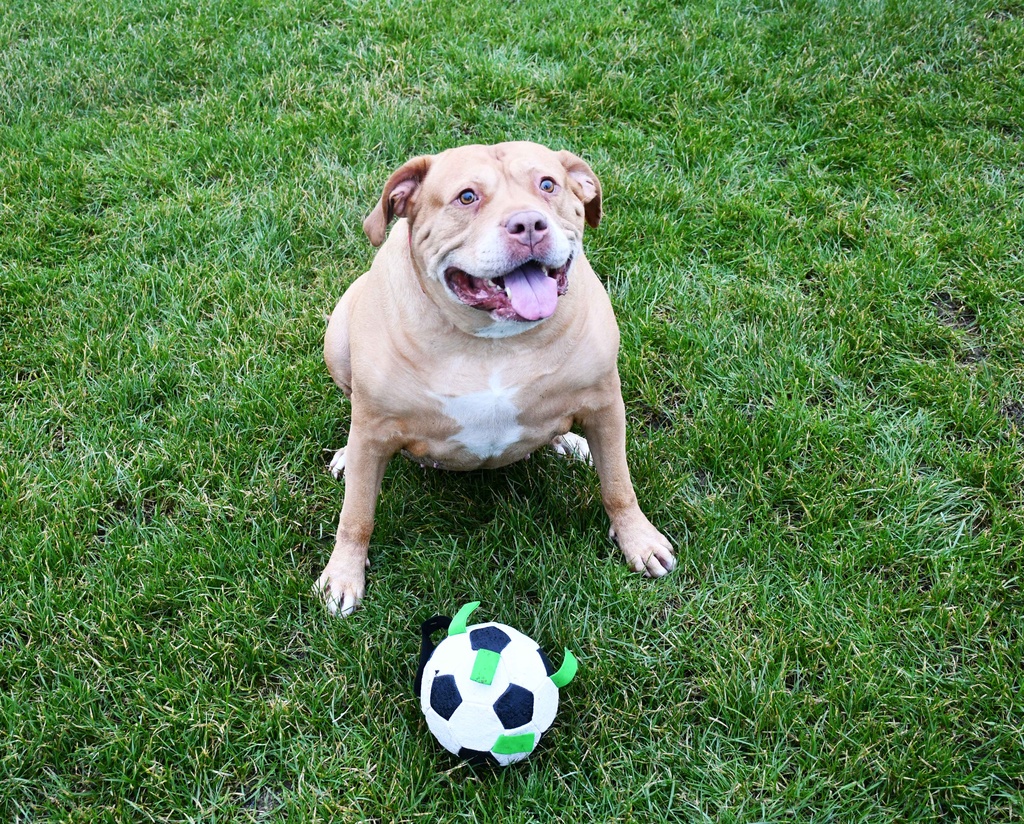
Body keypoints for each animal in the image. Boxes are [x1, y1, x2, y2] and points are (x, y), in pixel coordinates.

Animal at [315, 141, 675, 614]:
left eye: (548, 185)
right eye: (467, 197)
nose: (529, 225)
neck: (494, 339)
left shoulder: (605, 405)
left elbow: (618, 485)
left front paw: (639, 541)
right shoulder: (374, 429)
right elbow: (356, 515)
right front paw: (343, 575)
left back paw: (567, 441)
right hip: (338, 337)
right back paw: (344, 454)